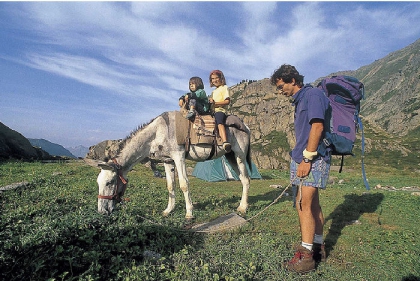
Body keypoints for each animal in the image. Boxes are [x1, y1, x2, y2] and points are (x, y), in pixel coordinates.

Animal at [96, 110, 251, 218]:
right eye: (99, 182)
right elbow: (170, 185)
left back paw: (243, 208)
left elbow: (184, 184)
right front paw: (168, 210)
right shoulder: (168, 160)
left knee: (246, 179)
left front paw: (189, 213)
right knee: (243, 179)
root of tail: (246, 126)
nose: (102, 211)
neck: (158, 132)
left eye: (110, 182)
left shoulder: (179, 156)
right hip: (230, 156)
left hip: (240, 156)